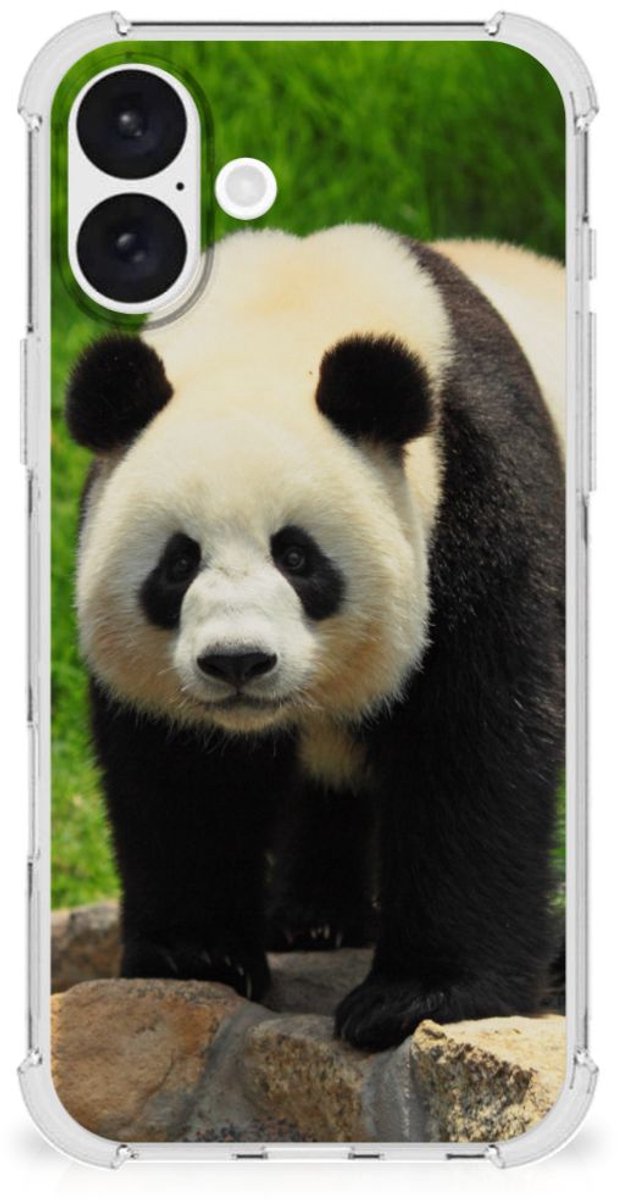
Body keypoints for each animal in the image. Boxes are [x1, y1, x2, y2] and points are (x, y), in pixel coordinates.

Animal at [66, 224, 565, 1051]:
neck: (284, 315)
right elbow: (180, 771)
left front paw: (418, 997)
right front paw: (197, 956)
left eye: (297, 557)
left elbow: (476, 741)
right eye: (178, 562)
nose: (237, 662)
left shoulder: (479, 493)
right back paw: (313, 918)